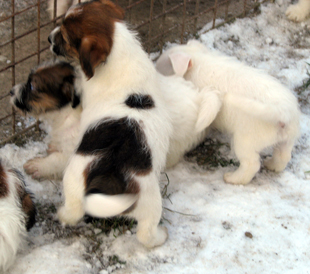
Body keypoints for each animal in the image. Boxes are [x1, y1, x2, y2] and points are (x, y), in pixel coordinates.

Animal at [48, 0, 174, 248]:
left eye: (64, 38)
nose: (49, 38)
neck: (117, 49)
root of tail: (110, 174)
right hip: (146, 201)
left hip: (76, 184)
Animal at [156, 40, 300, 185]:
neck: (198, 61)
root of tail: (283, 111)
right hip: (287, 140)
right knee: (283, 156)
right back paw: (271, 165)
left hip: (244, 142)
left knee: (251, 165)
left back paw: (232, 178)